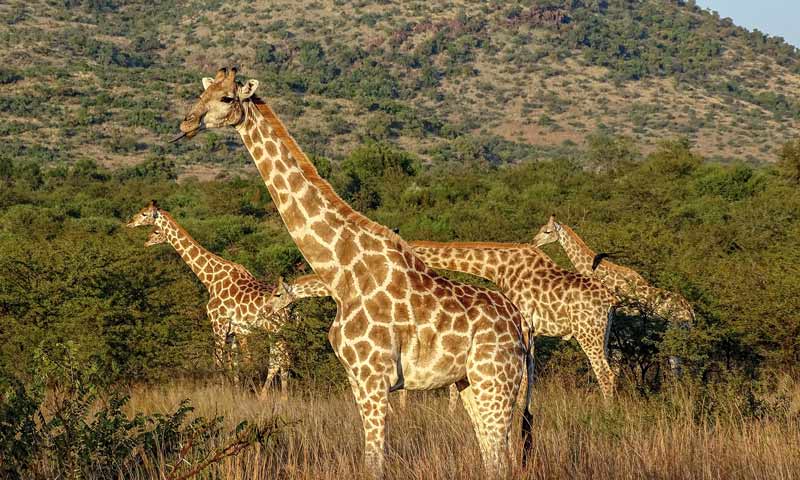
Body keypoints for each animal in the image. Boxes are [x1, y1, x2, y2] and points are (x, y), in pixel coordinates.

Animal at [128, 201, 294, 400]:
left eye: (145, 215)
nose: (129, 223)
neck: (210, 279)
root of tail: (292, 306)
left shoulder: (218, 324)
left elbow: (219, 362)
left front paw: (219, 395)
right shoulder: (232, 330)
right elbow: (232, 365)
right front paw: (234, 394)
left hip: (274, 329)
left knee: (280, 360)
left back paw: (273, 397)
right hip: (277, 331)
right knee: (281, 360)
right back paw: (276, 397)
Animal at [536, 214, 696, 376]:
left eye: (547, 231)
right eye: (541, 229)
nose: (534, 242)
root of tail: (690, 312)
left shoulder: (624, 327)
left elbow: (619, 359)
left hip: (675, 333)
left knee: (676, 365)